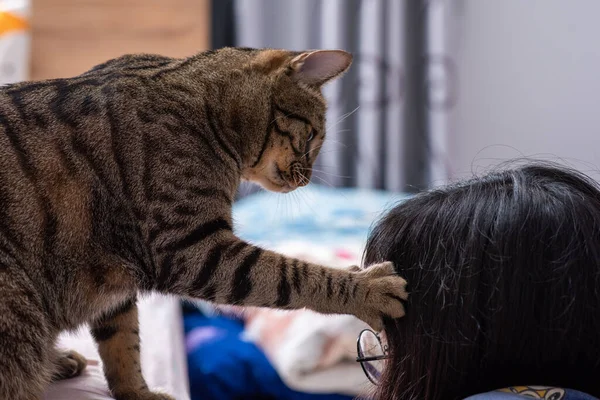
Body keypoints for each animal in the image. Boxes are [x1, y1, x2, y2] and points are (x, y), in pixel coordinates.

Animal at [0, 47, 408, 400]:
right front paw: (366, 288)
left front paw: (139, 393)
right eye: (309, 136)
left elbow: (123, 343)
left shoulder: (119, 282)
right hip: (18, 314)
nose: (306, 179)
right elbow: (289, 274)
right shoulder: (189, 248)